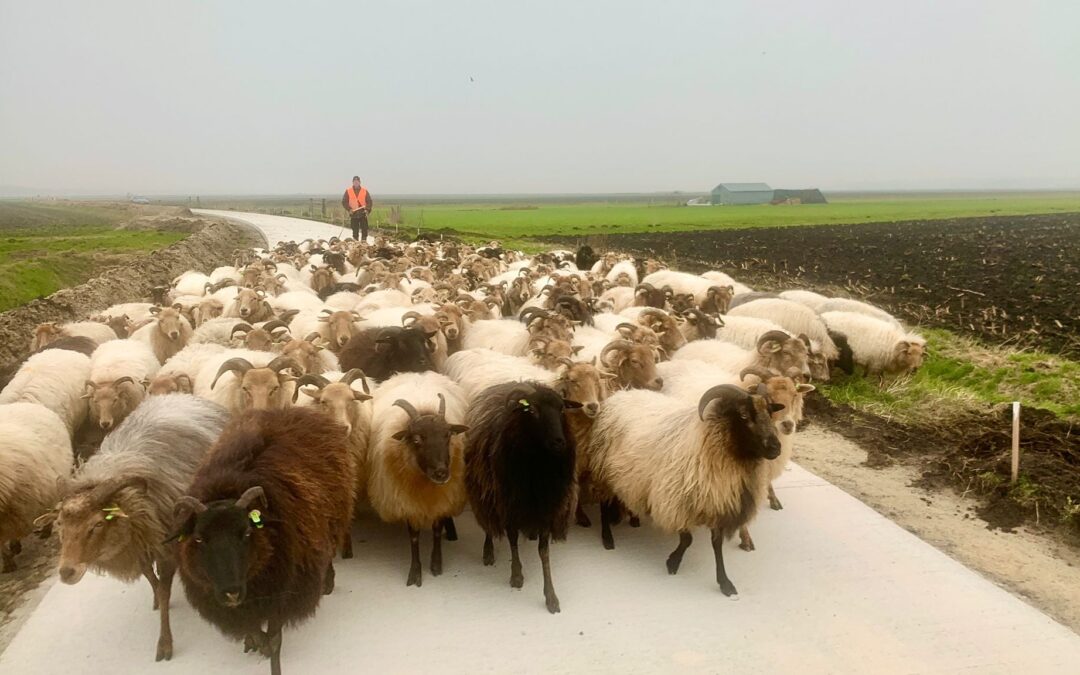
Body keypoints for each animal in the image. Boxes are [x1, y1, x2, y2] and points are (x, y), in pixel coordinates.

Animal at [43, 393, 228, 660]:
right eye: (60, 525)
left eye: (97, 525)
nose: (66, 572)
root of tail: (176, 395)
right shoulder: (138, 545)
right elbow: (152, 579)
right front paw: (157, 599)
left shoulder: (165, 546)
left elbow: (164, 589)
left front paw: (164, 642)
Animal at [169, 406, 354, 673]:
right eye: (200, 539)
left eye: (247, 533)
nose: (231, 593)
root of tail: (298, 410)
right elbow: (253, 628)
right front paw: (254, 641)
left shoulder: (283, 593)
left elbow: (274, 637)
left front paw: (270, 653)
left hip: (334, 519)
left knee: (328, 551)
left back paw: (327, 582)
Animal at [367, 371, 468, 587]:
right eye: (416, 439)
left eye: (448, 435)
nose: (441, 473)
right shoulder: (408, 502)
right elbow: (413, 538)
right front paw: (415, 572)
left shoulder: (441, 498)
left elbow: (437, 530)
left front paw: (436, 564)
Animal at [464, 382, 583, 613]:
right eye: (533, 410)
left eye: (562, 409)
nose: (559, 441)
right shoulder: (509, 505)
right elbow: (512, 541)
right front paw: (517, 576)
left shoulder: (547, 508)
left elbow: (543, 552)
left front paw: (551, 596)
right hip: (484, 492)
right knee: (488, 524)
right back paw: (488, 551)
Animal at [587, 384, 781, 596]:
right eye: (744, 415)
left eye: (770, 413)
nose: (776, 448)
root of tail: (621, 394)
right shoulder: (677, 502)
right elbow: (687, 540)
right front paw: (672, 562)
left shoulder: (716, 502)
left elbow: (717, 544)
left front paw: (724, 583)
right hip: (602, 469)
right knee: (603, 504)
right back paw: (607, 538)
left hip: (625, 476)